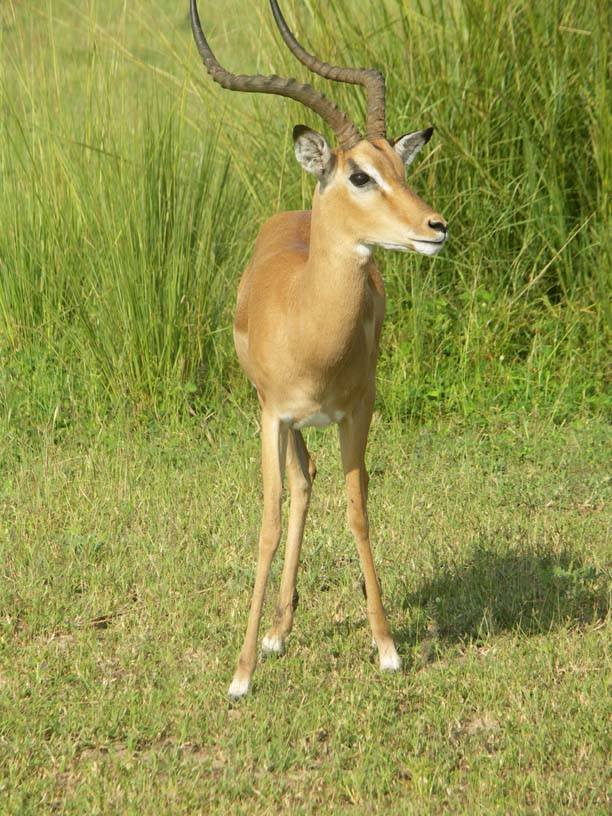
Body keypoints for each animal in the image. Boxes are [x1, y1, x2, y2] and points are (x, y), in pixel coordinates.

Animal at [190, 0, 447, 698]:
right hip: (284, 423)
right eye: (359, 175)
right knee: (299, 489)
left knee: (311, 487)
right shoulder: (270, 416)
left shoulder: (358, 410)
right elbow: (268, 522)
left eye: (402, 169)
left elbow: (359, 510)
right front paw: (241, 673)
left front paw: (387, 648)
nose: (436, 227)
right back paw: (275, 635)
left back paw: (284, 627)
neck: (310, 330)